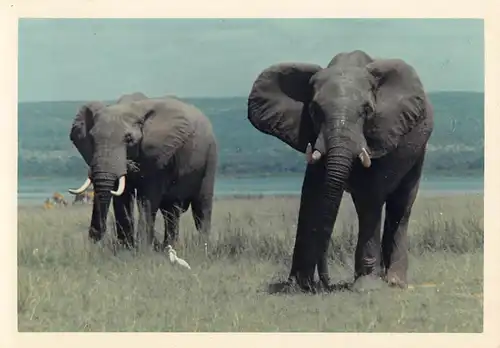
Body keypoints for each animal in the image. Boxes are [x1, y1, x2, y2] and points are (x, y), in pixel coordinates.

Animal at [67, 92, 218, 250]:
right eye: (92, 138)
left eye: (129, 139)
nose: (94, 236)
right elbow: (122, 198)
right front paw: (126, 249)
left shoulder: (158, 155)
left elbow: (148, 198)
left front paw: (143, 250)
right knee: (171, 211)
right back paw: (168, 247)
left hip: (210, 155)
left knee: (202, 208)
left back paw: (201, 247)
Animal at [247, 50, 434, 292]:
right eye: (314, 110)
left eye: (367, 111)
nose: (325, 283)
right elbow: (312, 194)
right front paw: (297, 286)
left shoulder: (382, 132)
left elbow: (369, 197)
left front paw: (366, 285)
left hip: (418, 150)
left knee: (401, 205)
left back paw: (394, 281)